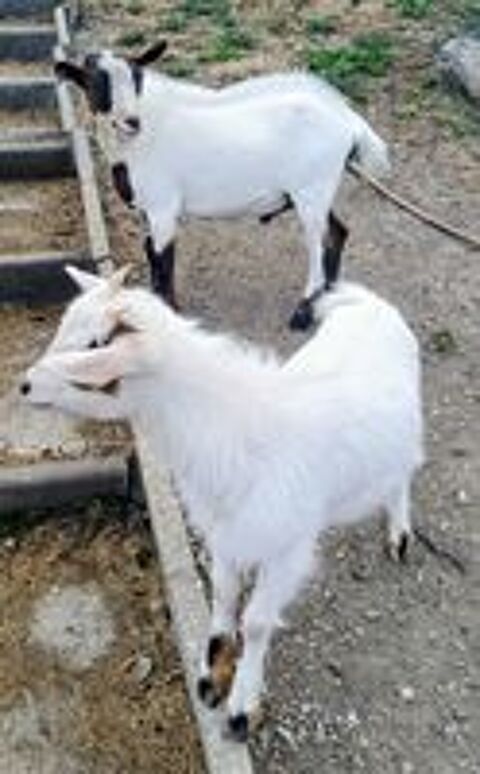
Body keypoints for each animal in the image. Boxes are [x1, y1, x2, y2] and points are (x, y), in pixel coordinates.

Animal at [22, 266, 423, 741]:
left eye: (95, 346)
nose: (24, 385)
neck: (232, 426)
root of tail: (371, 303)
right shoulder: (226, 531)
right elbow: (225, 597)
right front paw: (211, 675)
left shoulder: (288, 548)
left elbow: (256, 621)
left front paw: (242, 705)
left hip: (404, 439)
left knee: (402, 473)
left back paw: (399, 533)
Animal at [55, 43, 390, 329]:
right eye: (96, 81)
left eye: (137, 78)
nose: (131, 121)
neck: (139, 141)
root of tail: (350, 122)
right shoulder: (147, 210)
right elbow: (150, 253)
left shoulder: (163, 207)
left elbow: (163, 260)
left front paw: (169, 313)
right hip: (313, 193)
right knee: (337, 233)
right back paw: (331, 298)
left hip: (312, 192)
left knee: (318, 246)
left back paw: (303, 313)